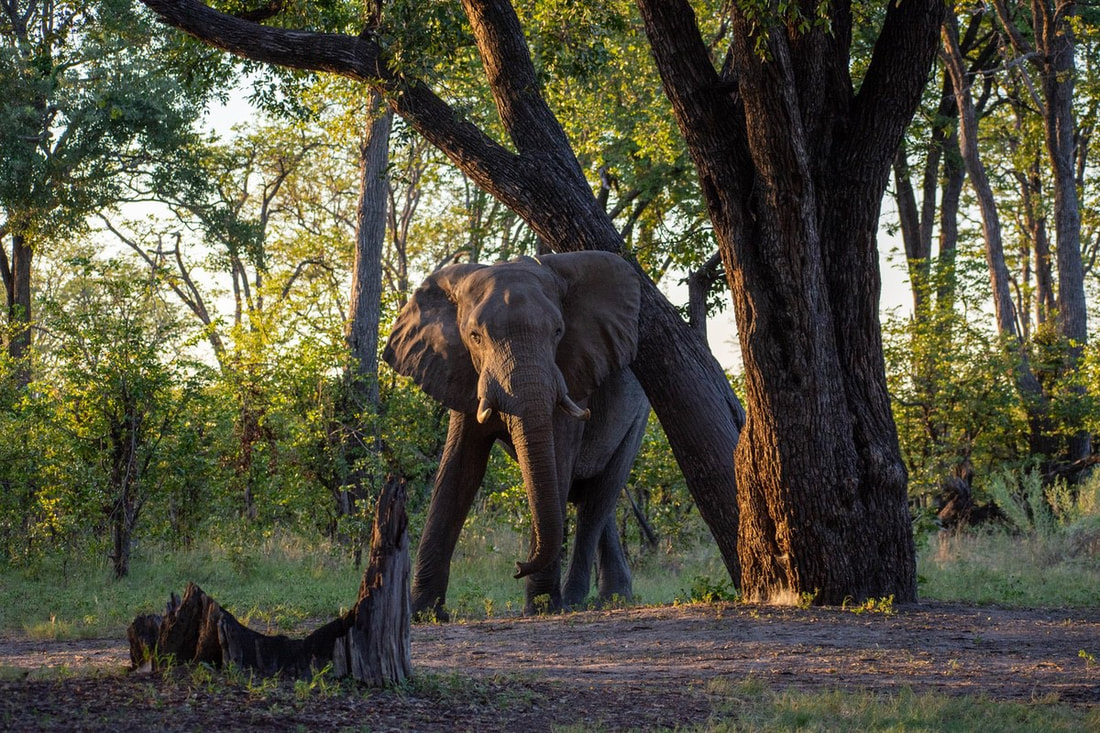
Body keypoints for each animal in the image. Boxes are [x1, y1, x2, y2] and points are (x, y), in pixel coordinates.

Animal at [383, 250, 649, 619]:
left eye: (558, 331)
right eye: (475, 336)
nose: (517, 566)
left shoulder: (571, 371)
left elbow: (558, 458)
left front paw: (541, 608)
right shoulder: (463, 371)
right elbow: (460, 469)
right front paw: (423, 614)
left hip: (638, 416)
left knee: (598, 498)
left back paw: (574, 601)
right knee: (593, 500)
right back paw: (612, 598)